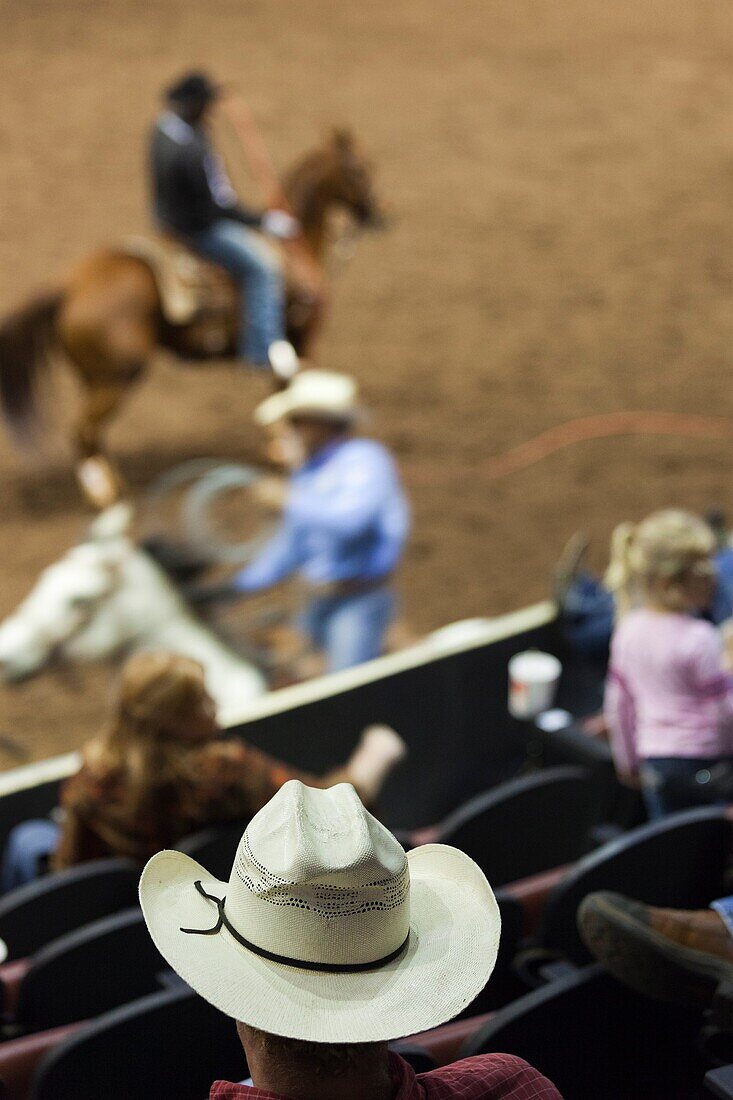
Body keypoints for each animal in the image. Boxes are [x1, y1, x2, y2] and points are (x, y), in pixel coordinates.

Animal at [0, 128, 385, 503]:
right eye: (360, 169)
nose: (380, 214)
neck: (293, 251)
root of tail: (71, 286)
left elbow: (280, 394)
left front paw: (280, 447)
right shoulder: (300, 340)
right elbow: (288, 393)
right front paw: (291, 451)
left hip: (94, 378)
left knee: (91, 432)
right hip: (117, 378)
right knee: (82, 430)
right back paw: (104, 494)